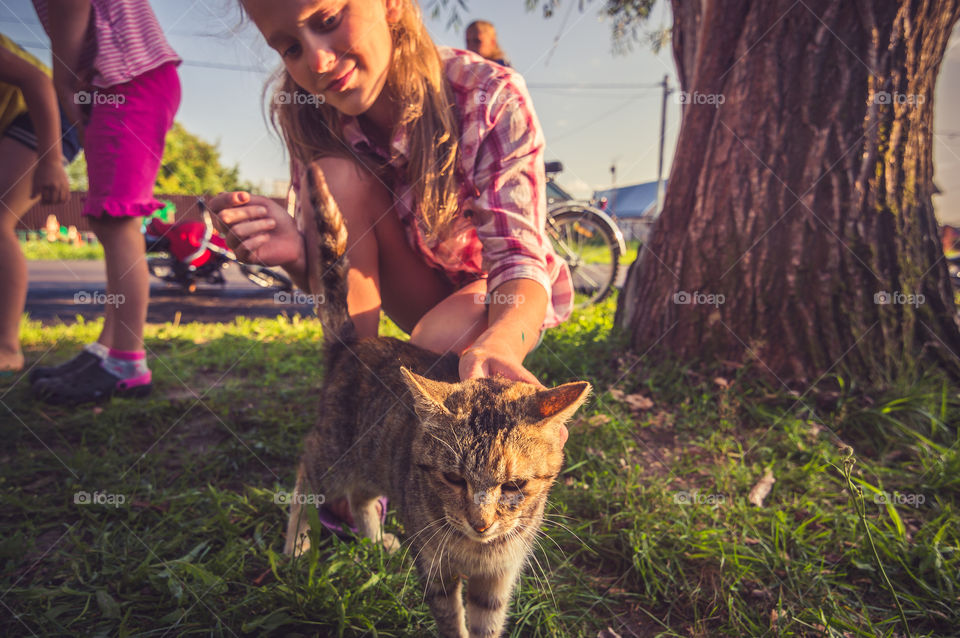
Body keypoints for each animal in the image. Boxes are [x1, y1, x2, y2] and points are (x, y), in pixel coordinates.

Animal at [282, 165, 588, 638]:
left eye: (514, 486)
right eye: (453, 479)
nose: (481, 522)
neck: (477, 552)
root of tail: (354, 343)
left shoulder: (497, 580)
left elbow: (486, 623)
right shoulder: (436, 570)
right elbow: (451, 620)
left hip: (374, 460)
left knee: (361, 495)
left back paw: (374, 539)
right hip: (331, 453)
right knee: (305, 480)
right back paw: (295, 546)